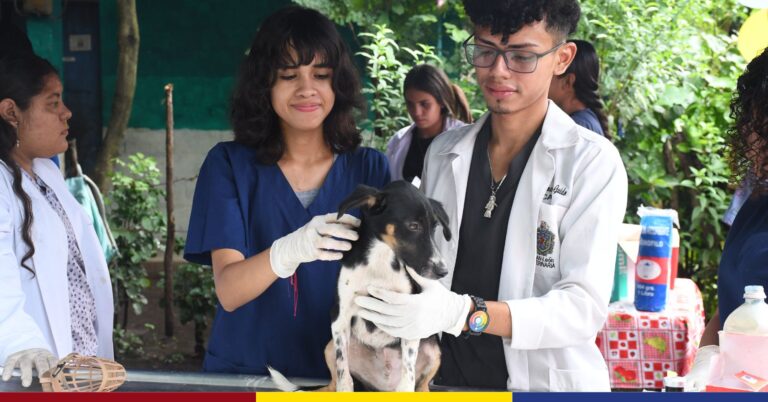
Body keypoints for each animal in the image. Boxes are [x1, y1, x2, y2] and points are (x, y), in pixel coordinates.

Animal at [270, 181, 450, 392]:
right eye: (413, 226)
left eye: (435, 228)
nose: (443, 271)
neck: (380, 259)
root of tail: (383, 387)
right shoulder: (341, 315)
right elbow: (343, 375)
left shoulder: (409, 318)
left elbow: (408, 376)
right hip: (330, 346)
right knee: (334, 383)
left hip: (434, 350)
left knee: (420, 385)